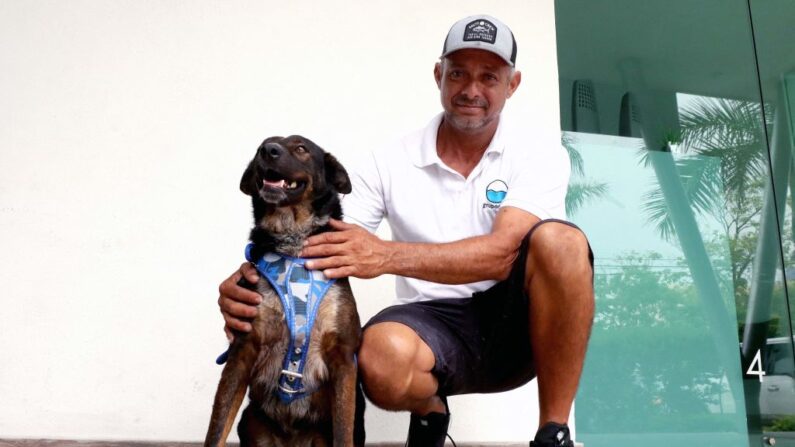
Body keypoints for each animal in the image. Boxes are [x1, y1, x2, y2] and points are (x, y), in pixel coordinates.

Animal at [205, 136, 366, 447]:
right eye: (261, 146)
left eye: (301, 148)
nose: (268, 151)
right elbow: (216, 430)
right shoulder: (242, 351)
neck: (293, 247)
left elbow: (344, 433)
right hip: (250, 421)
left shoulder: (342, 358)